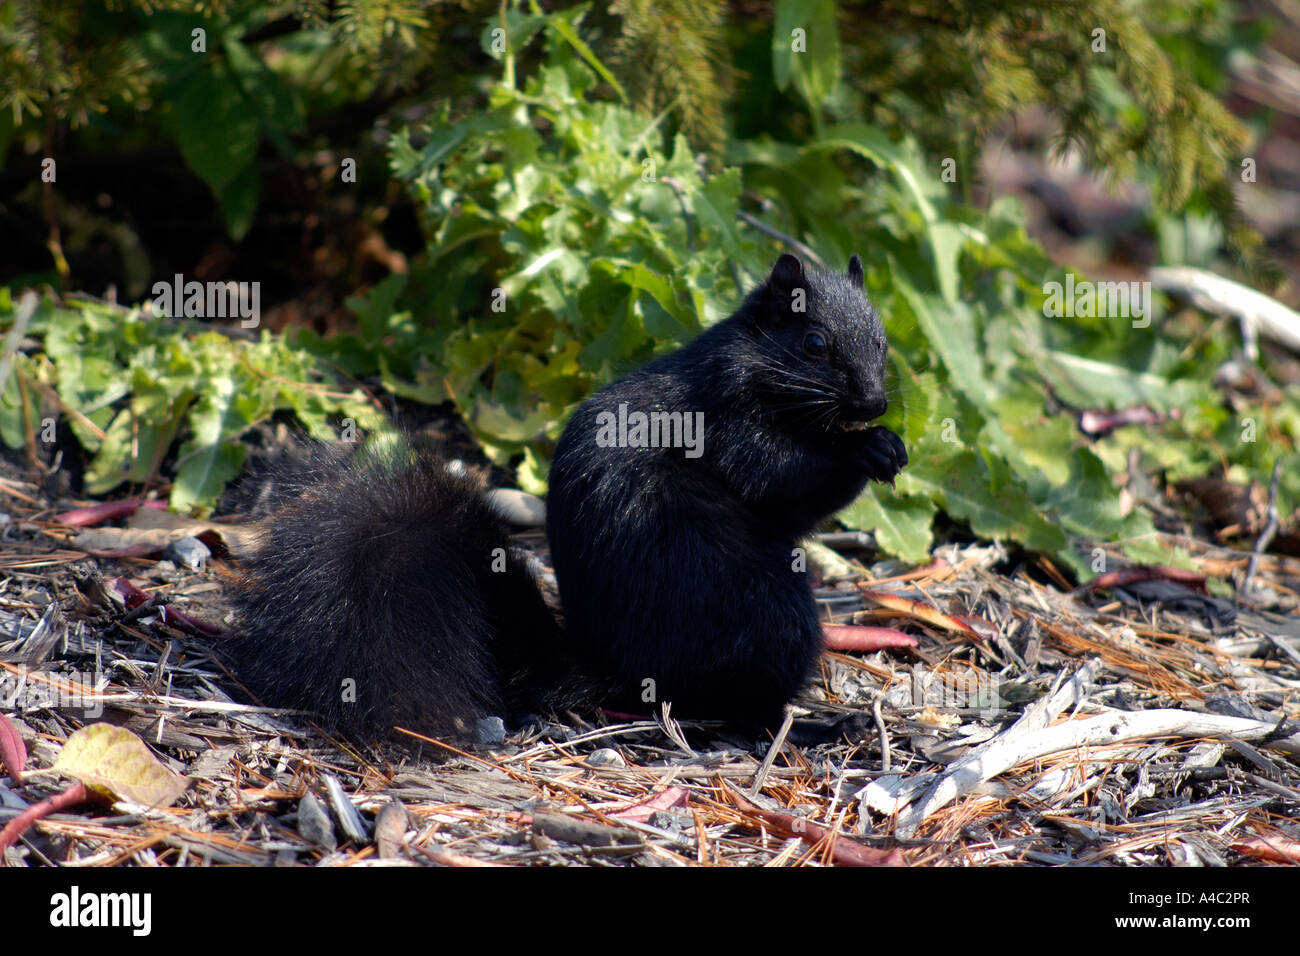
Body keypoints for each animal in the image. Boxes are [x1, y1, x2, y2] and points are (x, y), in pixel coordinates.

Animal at [220, 254, 904, 738]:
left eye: (883, 340)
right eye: (814, 344)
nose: (874, 403)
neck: (759, 368)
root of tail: (619, 673)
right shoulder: (727, 415)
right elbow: (779, 480)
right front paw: (867, 450)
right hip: (769, 617)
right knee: (739, 711)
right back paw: (815, 727)